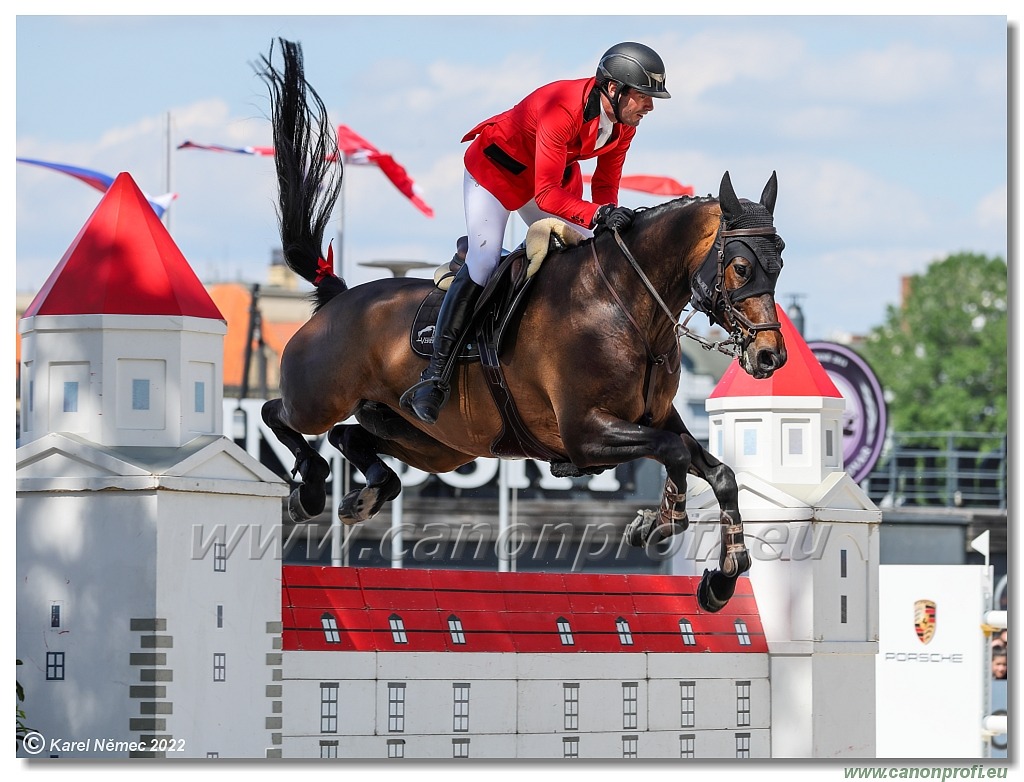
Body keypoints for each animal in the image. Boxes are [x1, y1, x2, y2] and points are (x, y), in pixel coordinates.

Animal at [253, 41, 782, 618]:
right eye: (740, 267)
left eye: (778, 264)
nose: (770, 357)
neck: (625, 305)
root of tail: (339, 295)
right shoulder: (586, 432)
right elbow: (676, 454)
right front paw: (662, 524)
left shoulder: (656, 416)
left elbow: (718, 471)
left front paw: (720, 577)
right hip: (322, 395)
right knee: (278, 413)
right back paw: (311, 489)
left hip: (438, 443)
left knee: (351, 435)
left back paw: (366, 493)